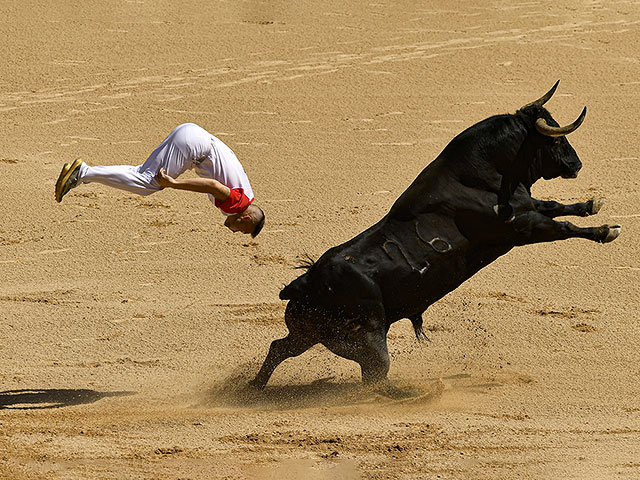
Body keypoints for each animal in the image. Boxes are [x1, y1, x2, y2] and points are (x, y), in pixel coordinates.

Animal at [252, 83, 624, 398]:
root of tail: (306, 281)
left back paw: (253, 388)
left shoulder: (529, 207)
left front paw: (592, 204)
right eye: (554, 141)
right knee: (375, 376)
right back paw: (414, 395)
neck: (481, 172)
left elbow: (556, 206)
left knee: (279, 347)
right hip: (369, 338)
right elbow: (562, 226)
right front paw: (606, 230)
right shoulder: (523, 227)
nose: (576, 164)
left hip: (309, 333)